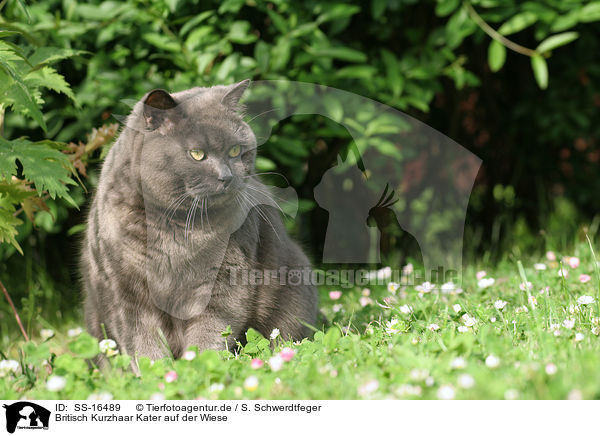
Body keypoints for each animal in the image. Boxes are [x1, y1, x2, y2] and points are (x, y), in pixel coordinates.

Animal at [82, 80, 322, 362]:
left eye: (235, 150)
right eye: (197, 154)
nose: (226, 176)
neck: (175, 225)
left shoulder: (225, 283)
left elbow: (209, 335)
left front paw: (199, 365)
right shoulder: (124, 289)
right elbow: (143, 344)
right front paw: (157, 370)